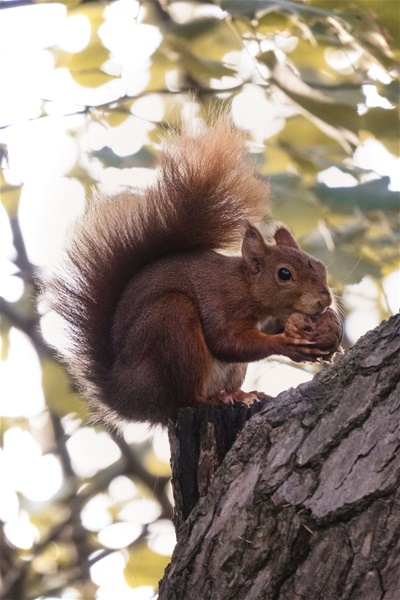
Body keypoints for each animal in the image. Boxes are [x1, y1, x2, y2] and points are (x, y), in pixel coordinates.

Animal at [42, 115, 332, 428]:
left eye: (320, 266)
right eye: (284, 274)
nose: (325, 301)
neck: (245, 286)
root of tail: (126, 398)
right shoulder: (221, 302)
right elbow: (228, 342)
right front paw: (288, 344)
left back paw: (240, 394)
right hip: (172, 328)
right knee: (184, 398)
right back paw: (211, 399)